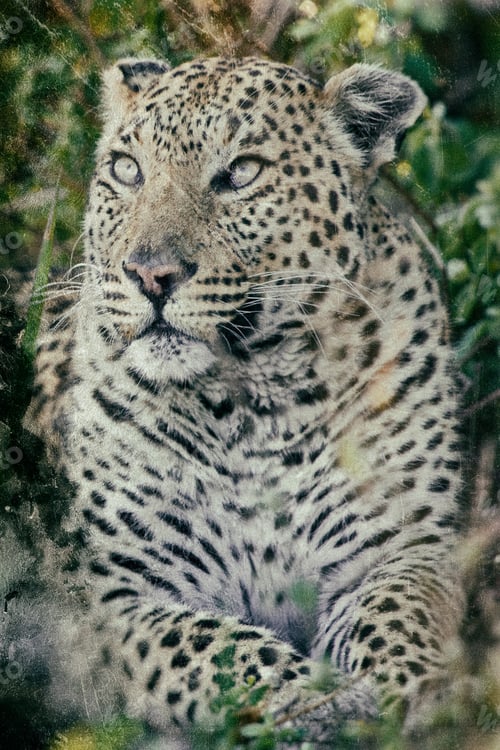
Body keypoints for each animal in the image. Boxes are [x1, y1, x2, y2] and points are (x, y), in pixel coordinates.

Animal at [9, 56, 465, 746]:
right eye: (127, 169)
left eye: (242, 172)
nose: (150, 274)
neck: (252, 403)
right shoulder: (115, 601)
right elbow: (217, 649)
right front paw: (313, 703)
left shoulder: (404, 552)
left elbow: (401, 619)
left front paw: (406, 698)